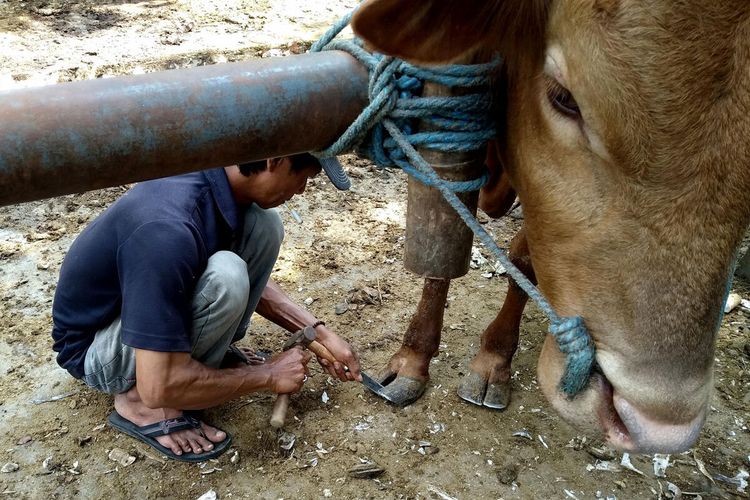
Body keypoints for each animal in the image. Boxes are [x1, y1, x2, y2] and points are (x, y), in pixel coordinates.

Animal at [356, 0, 750, 454]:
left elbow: (523, 258)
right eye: (564, 98)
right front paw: (412, 361)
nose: (657, 429)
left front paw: (494, 360)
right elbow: (440, 252)